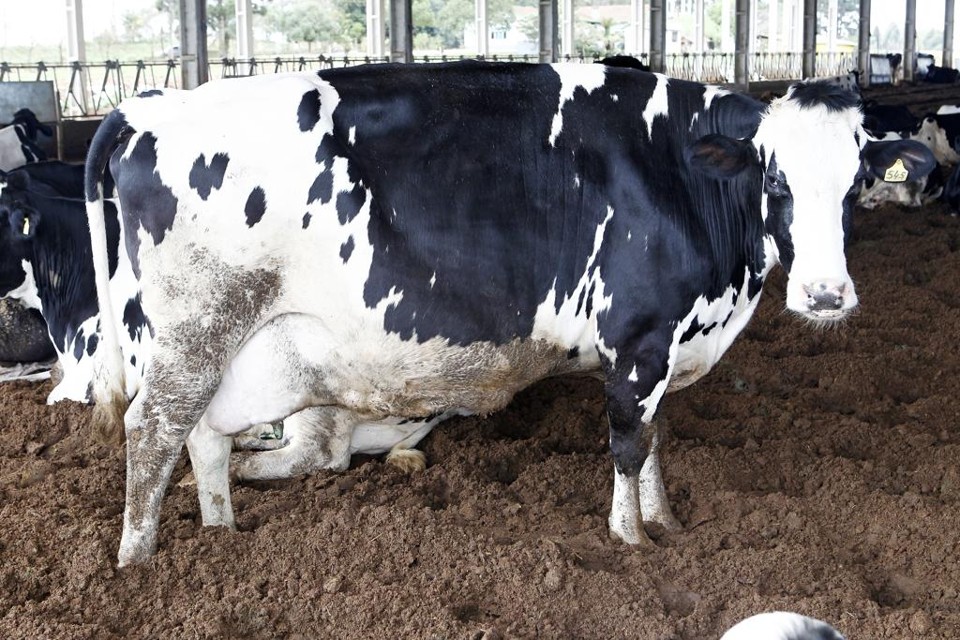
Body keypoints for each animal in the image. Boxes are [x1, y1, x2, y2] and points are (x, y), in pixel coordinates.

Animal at [83, 61, 935, 566]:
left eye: (857, 179)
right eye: (776, 179)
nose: (825, 295)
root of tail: (147, 109)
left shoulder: (665, 345)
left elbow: (658, 441)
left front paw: (665, 522)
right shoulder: (638, 340)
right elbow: (630, 442)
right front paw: (629, 539)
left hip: (233, 347)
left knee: (204, 438)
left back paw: (221, 533)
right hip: (193, 332)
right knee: (153, 434)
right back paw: (139, 564)